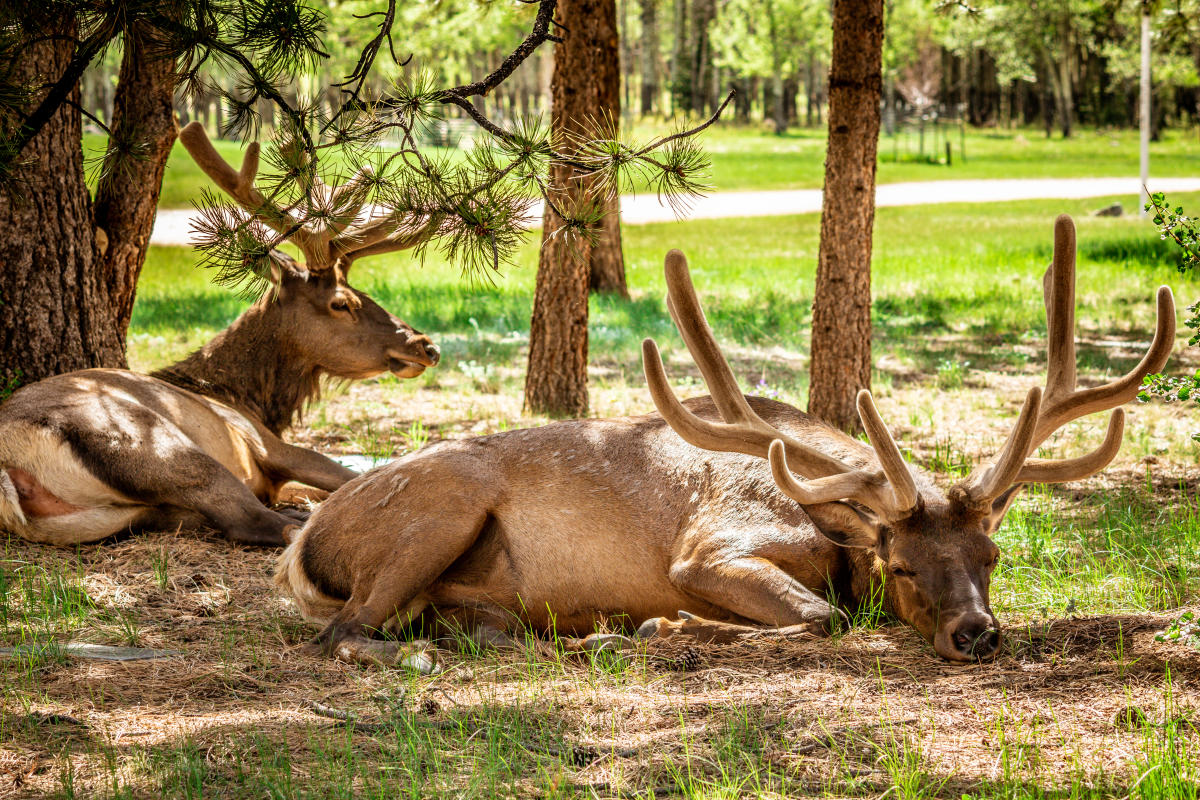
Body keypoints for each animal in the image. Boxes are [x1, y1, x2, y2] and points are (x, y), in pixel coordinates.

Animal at [0, 122, 441, 547]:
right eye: (341, 303)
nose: (426, 346)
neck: (245, 398)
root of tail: (11, 461)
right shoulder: (266, 443)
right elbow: (352, 472)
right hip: (152, 443)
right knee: (253, 521)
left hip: (121, 513)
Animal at [274, 215, 1174, 668]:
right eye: (903, 566)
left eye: (993, 557)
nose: (978, 633)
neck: (830, 521)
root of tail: (304, 544)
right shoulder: (708, 549)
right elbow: (821, 616)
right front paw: (667, 628)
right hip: (443, 508)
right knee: (343, 632)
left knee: (452, 622)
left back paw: (556, 634)